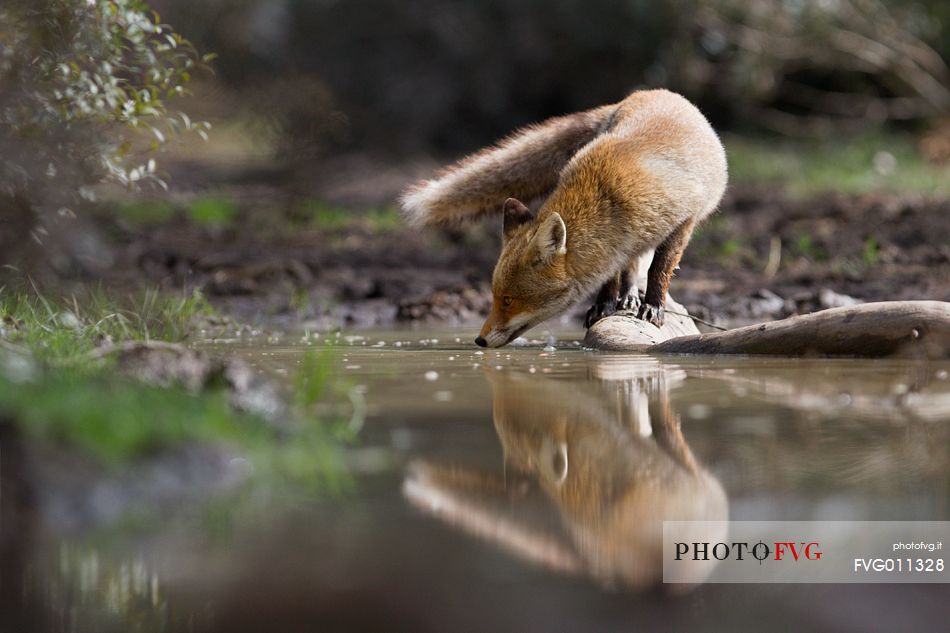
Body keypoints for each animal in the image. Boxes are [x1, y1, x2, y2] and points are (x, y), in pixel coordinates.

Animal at [402, 87, 728, 346]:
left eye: (508, 300)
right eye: (495, 297)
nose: (479, 341)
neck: (609, 193)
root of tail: (646, 92)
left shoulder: (683, 220)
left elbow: (659, 270)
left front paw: (654, 307)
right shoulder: (616, 244)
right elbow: (611, 275)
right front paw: (605, 305)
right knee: (631, 265)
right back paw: (627, 294)